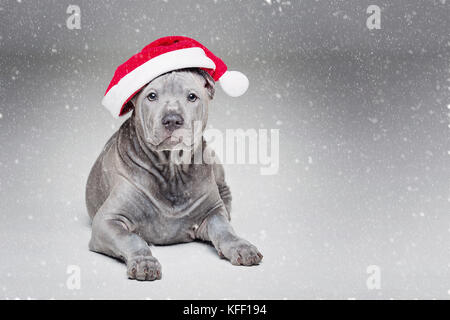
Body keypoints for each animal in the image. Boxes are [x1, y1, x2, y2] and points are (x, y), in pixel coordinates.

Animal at [85, 68, 262, 280]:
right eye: (152, 96)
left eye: (192, 96)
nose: (172, 120)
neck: (172, 170)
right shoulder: (107, 220)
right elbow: (131, 238)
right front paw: (144, 261)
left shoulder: (212, 212)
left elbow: (224, 229)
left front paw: (241, 246)